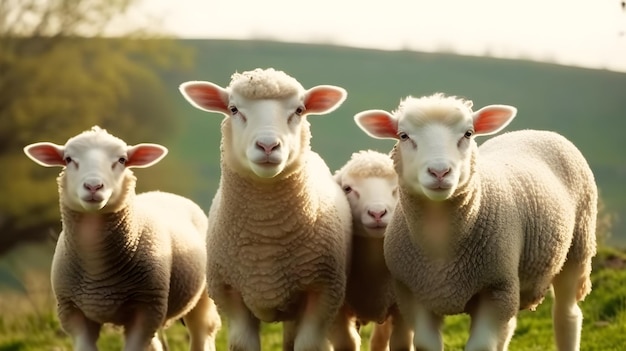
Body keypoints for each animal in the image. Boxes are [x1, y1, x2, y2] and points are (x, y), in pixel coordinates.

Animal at [22, 126, 222, 351]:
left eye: (122, 160)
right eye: (68, 159)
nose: (93, 186)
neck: (96, 269)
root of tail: (165, 193)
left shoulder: (146, 307)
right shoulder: (72, 312)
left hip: (201, 296)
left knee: (202, 331)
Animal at [178, 66, 354, 351]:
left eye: (299, 110)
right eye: (233, 109)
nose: (268, 146)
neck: (267, 233)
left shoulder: (324, 292)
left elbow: (308, 345)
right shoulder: (229, 293)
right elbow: (242, 344)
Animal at [352, 93, 596, 351]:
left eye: (468, 133)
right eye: (403, 136)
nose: (440, 172)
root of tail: (536, 131)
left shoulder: (495, 289)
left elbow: (481, 346)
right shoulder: (412, 292)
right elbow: (426, 343)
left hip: (577, 247)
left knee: (567, 314)